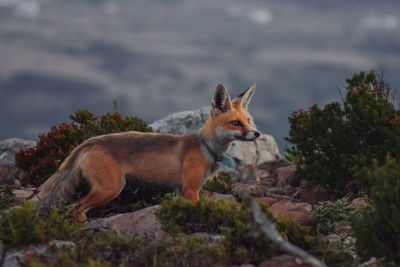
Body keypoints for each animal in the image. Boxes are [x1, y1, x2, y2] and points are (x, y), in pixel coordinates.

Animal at [36, 84, 260, 222]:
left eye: (249, 120)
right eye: (235, 123)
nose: (257, 133)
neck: (207, 148)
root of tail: (89, 141)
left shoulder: (181, 191)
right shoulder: (190, 189)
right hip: (111, 188)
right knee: (77, 206)